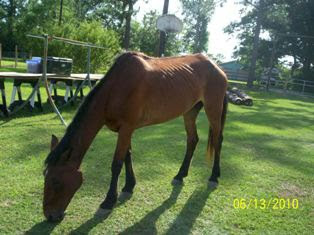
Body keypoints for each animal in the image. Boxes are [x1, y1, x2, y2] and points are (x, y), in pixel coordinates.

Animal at [42, 50, 228, 221]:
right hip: (190, 111)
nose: (50, 215)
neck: (116, 88)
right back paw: (180, 175)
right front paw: (128, 187)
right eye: (45, 176)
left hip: (213, 108)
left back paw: (214, 176)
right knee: (192, 140)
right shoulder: (126, 130)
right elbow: (127, 156)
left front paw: (108, 202)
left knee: (217, 140)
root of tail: (217, 67)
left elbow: (117, 164)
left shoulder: (126, 128)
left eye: (56, 181)